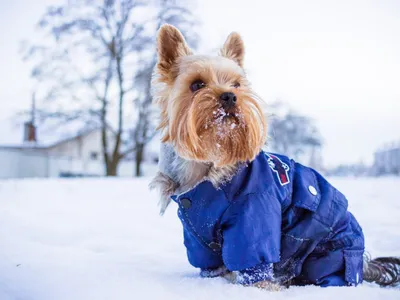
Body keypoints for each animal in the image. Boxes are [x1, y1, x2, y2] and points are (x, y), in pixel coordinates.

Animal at [150, 22, 400, 290]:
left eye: (237, 84)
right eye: (197, 85)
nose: (230, 96)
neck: (209, 164)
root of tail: (364, 263)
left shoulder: (254, 213)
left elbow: (254, 261)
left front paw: (258, 288)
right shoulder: (196, 233)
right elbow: (211, 264)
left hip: (328, 252)